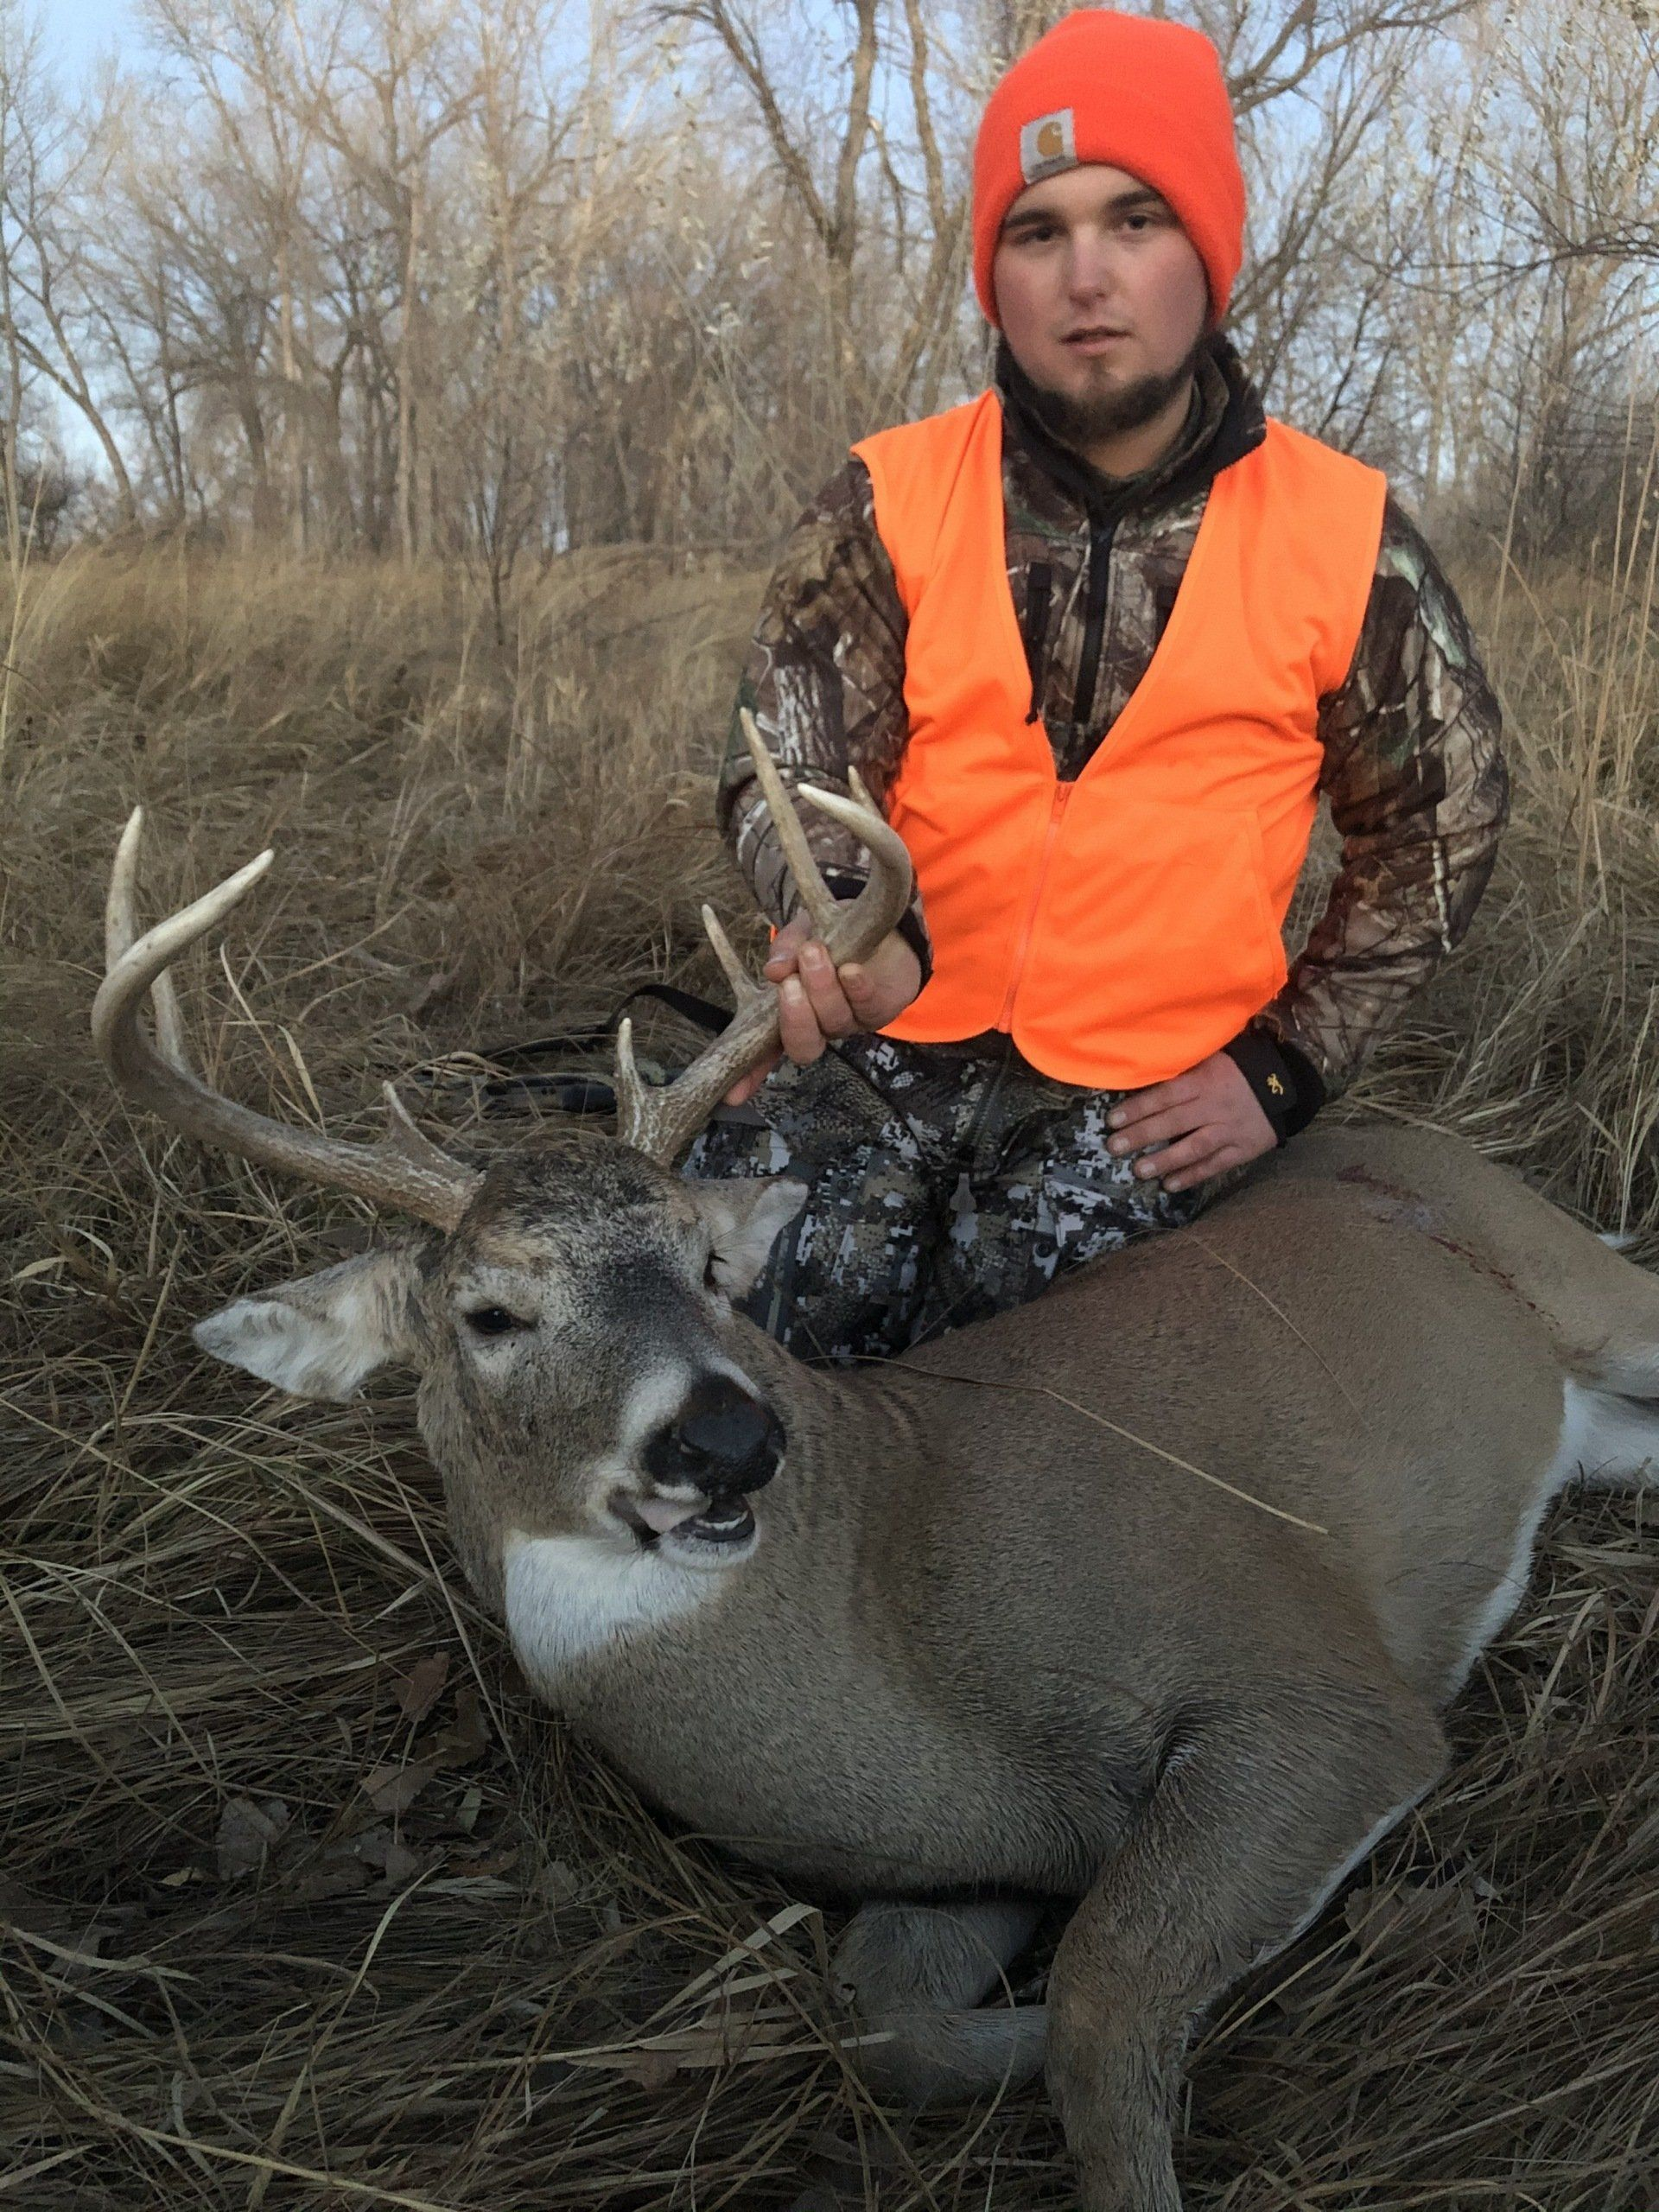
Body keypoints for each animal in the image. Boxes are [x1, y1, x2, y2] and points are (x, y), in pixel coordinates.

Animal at [93, 740, 1659, 2212]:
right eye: (487, 1314)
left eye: (707, 1261)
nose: (727, 1441)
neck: (902, 1604)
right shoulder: (984, 1860)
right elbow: (887, 2027)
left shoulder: (1315, 1688)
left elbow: (1102, 2004)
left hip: (1592, 1292)